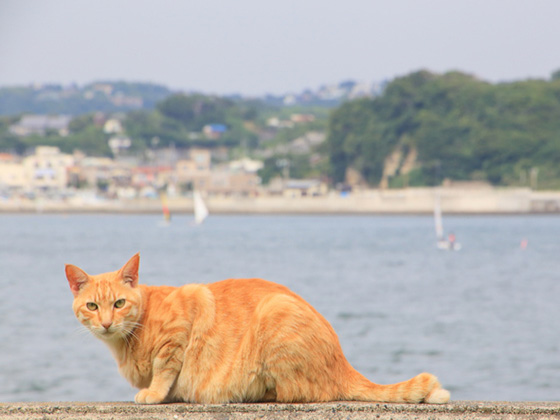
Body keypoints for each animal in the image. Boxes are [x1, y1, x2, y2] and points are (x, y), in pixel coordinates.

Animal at [65, 253, 450, 404]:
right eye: (92, 306)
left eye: (119, 304)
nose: (106, 323)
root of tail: (343, 363)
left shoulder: (184, 320)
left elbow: (165, 369)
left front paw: (156, 393)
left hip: (275, 313)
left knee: (299, 393)